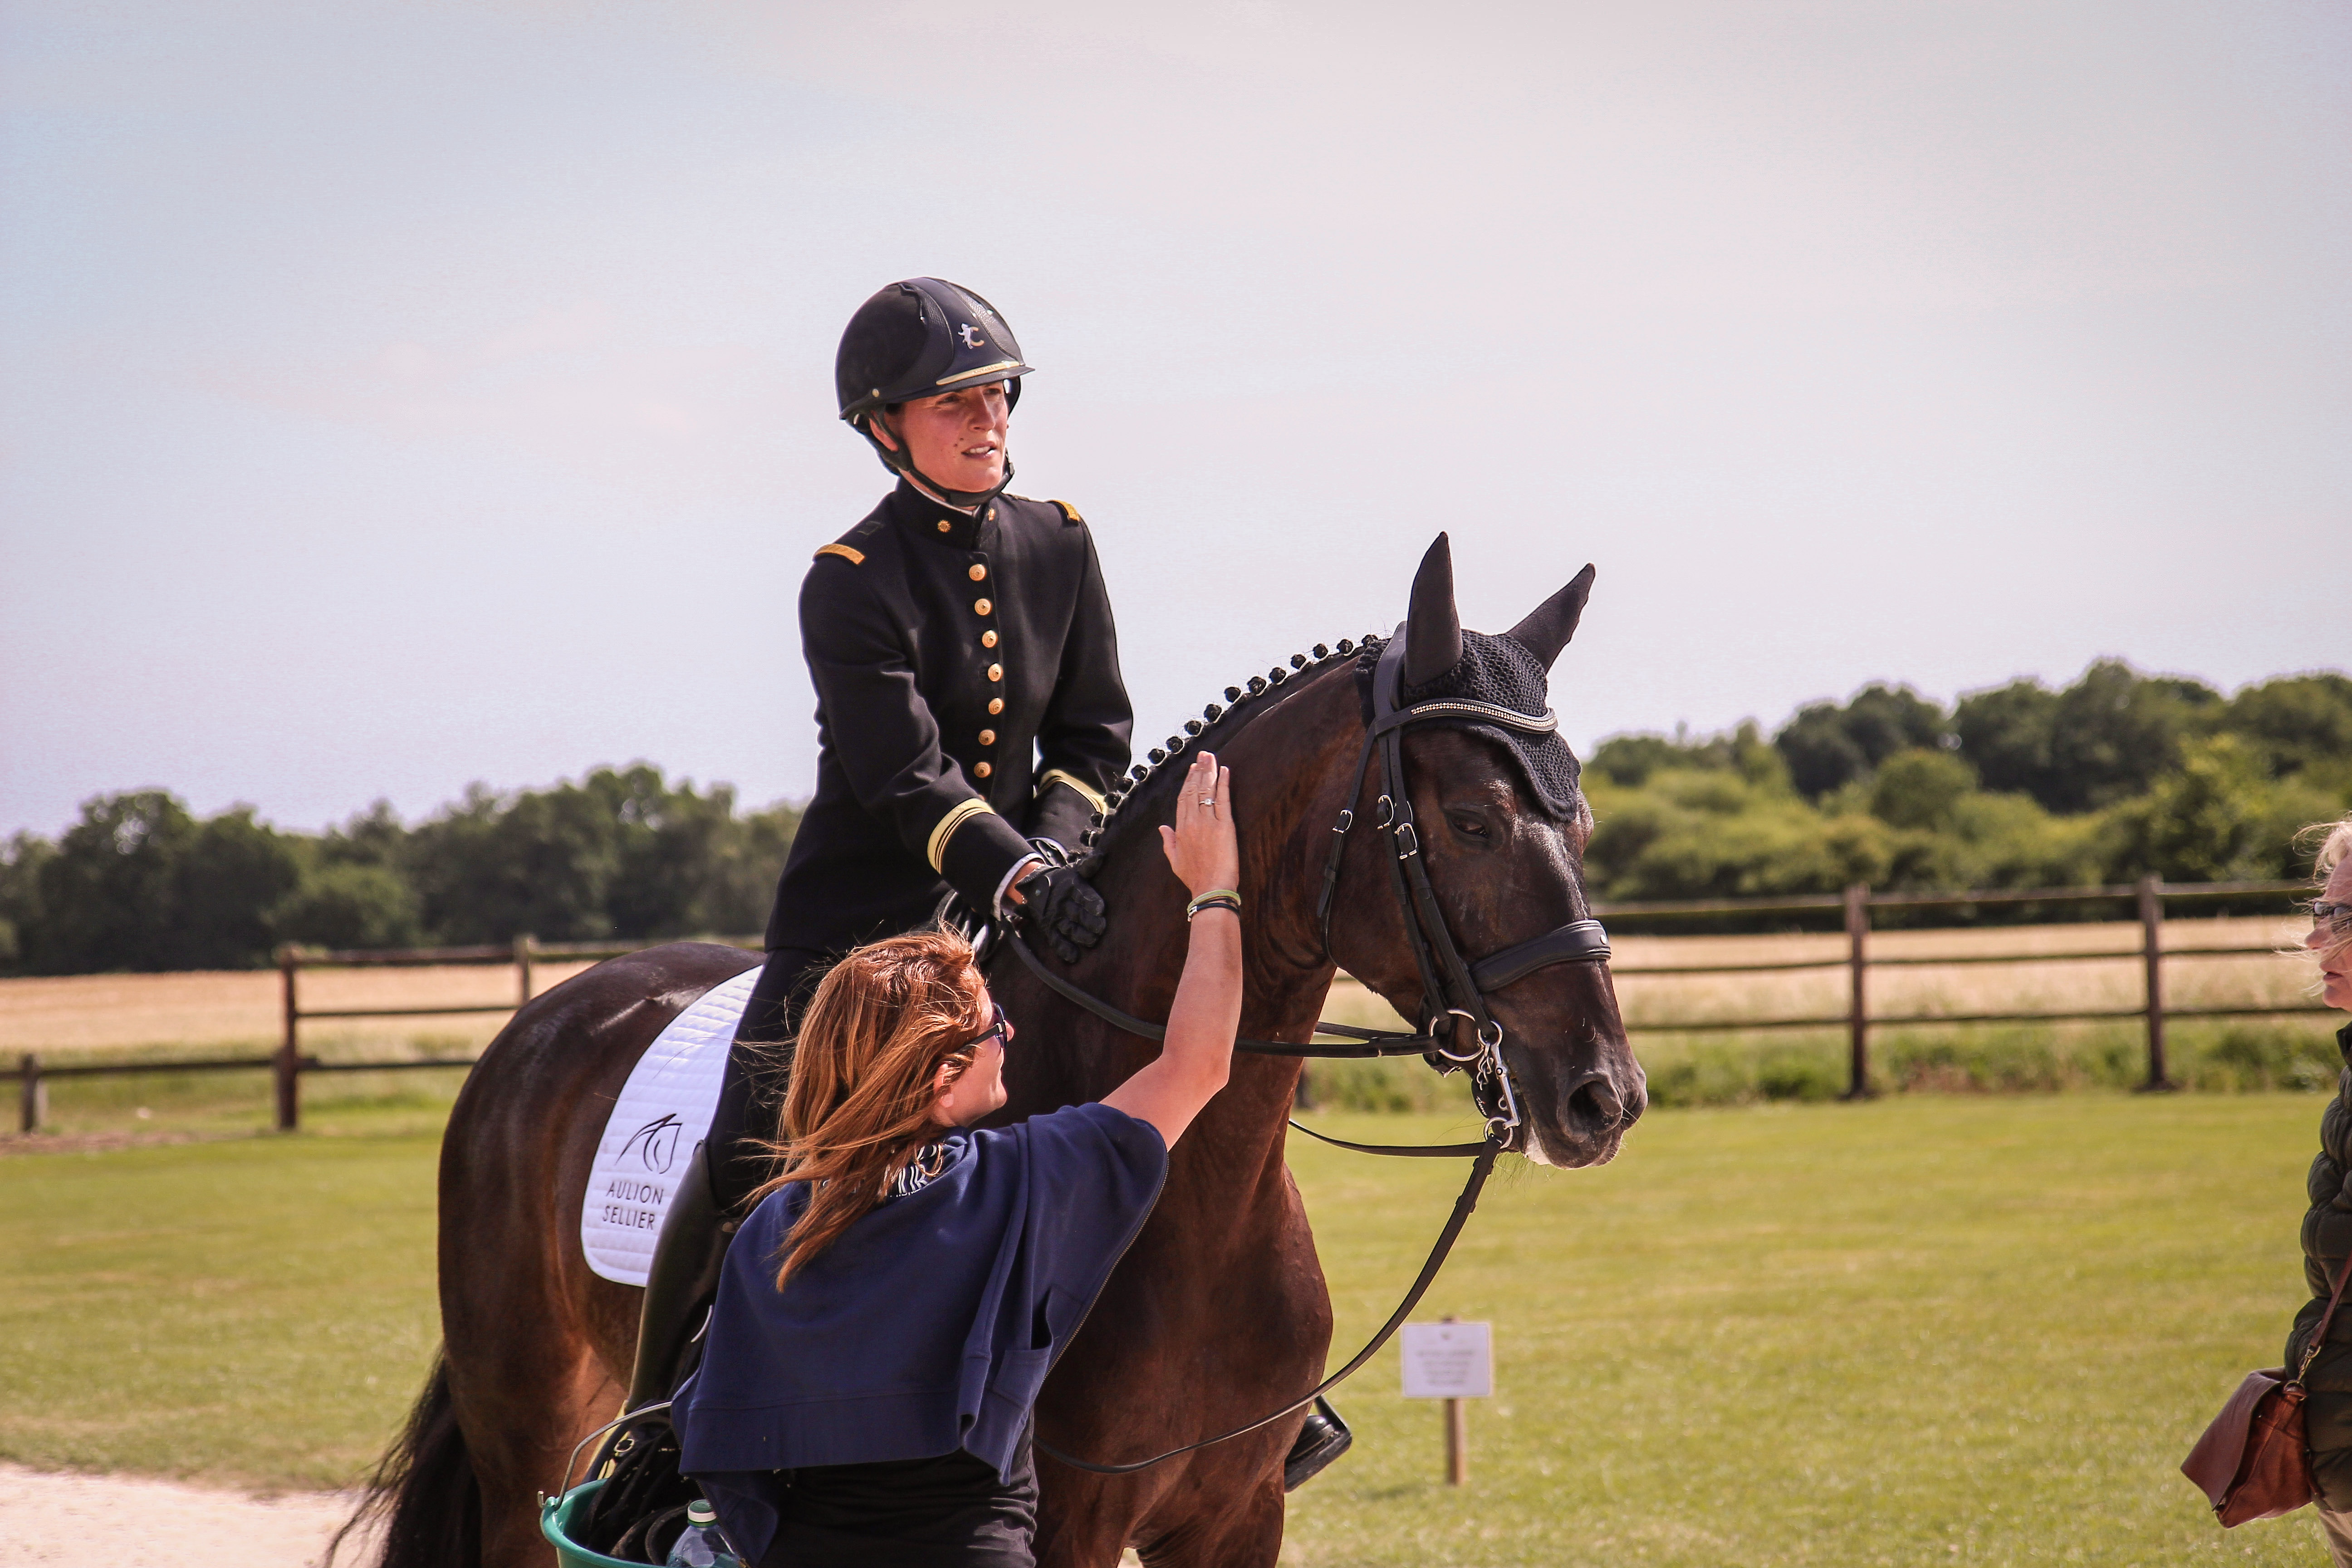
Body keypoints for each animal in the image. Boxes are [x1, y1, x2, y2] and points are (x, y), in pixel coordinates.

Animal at [353, 534, 1637, 1561]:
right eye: (1470, 821)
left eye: (1578, 820)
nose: (1602, 1098)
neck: (1192, 1193)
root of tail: (548, 1018)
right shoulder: (1060, 1515)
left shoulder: (1235, 1515)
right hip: (526, 1432)